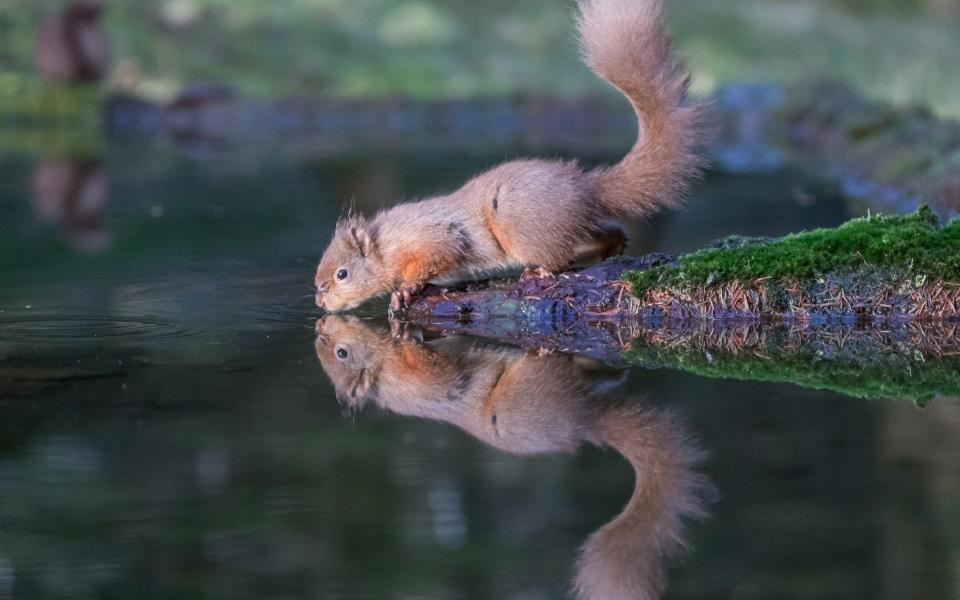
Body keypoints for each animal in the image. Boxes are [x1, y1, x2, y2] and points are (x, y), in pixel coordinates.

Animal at [314, 1, 704, 314]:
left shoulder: (431, 238)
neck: (386, 244)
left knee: (557, 254)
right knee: (605, 230)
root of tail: (583, 188)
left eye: (342, 273)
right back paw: (610, 246)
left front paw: (405, 289)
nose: (319, 299)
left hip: (517, 223)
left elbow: (434, 257)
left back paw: (543, 269)